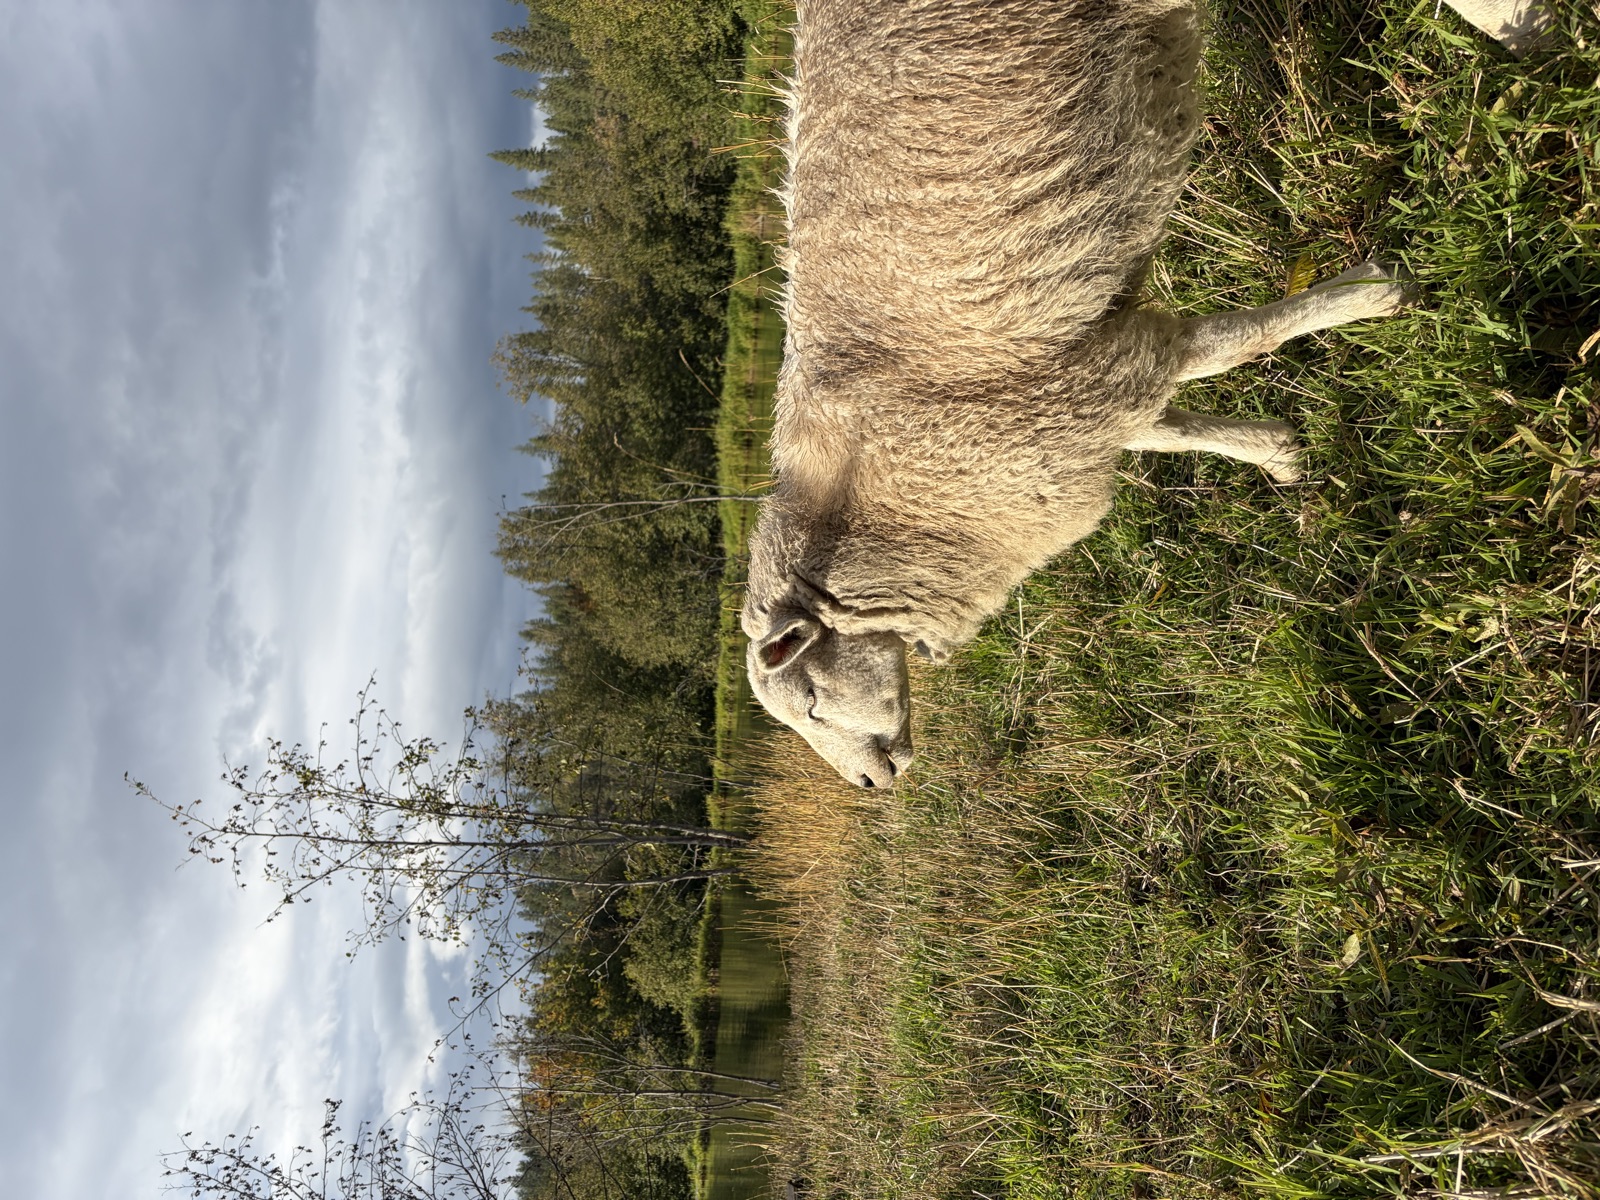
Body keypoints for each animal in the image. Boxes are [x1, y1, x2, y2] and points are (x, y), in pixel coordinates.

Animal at [741, 0, 1539, 789]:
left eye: (808, 698)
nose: (872, 786)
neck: (882, 504)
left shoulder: (1086, 380)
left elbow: (1236, 343)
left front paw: (1374, 293)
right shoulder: (1081, 401)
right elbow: (1173, 428)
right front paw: (1279, 455)